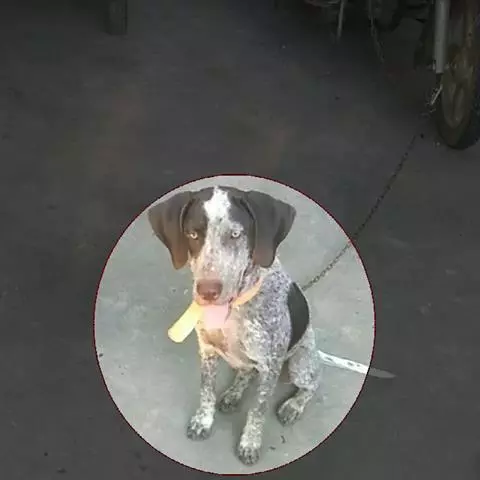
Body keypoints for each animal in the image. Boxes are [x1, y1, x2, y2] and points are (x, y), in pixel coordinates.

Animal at [148, 186, 322, 465]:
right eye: (193, 234)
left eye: (236, 234)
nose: (207, 292)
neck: (232, 311)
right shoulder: (207, 350)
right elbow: (206, 391)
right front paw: (203, 421)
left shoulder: (270, 367)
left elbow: (258, 411)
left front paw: (249, 443)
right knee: (246, 373)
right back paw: (233, 393)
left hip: (301, 363)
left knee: (312, 384)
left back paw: (294, 405)